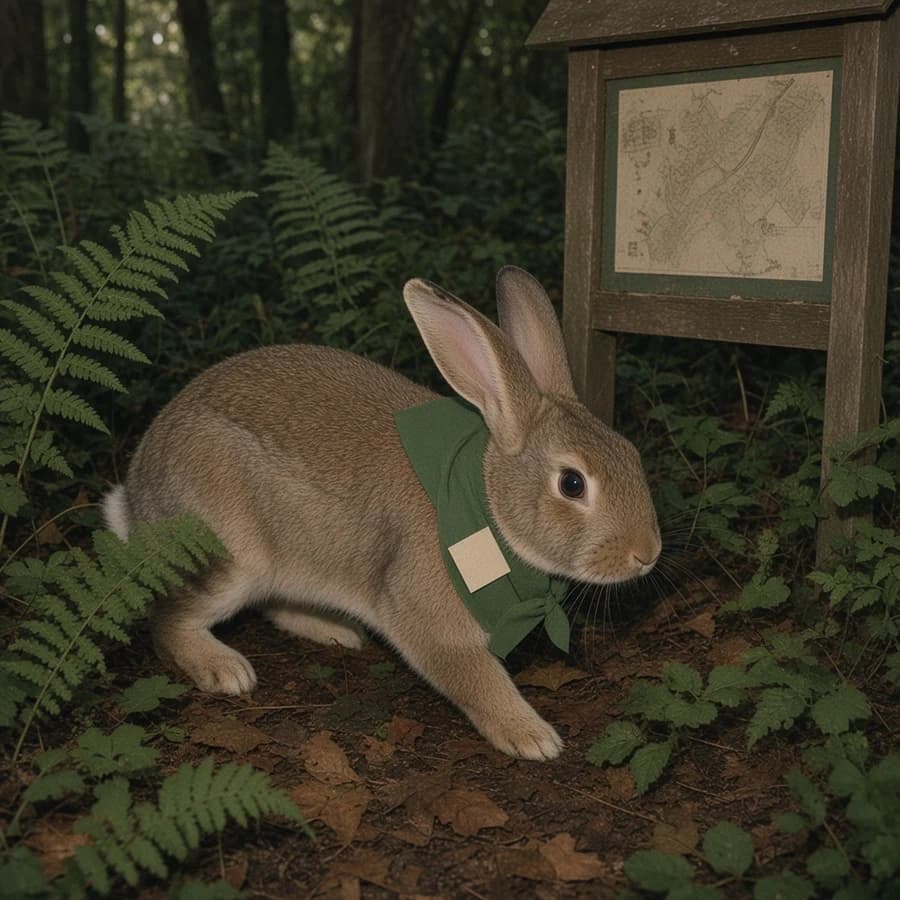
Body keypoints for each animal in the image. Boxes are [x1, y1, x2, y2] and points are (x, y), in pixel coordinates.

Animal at [102, 266, 661, 760]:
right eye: (572, 483)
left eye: (632, 452)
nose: (647, 554)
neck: (488, 506)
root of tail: (135, 500)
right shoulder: (429, 619)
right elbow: (477, 678)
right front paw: (533, 737)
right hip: (230, 552)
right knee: (168, 619)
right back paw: (225, 668)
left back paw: (337, 632)